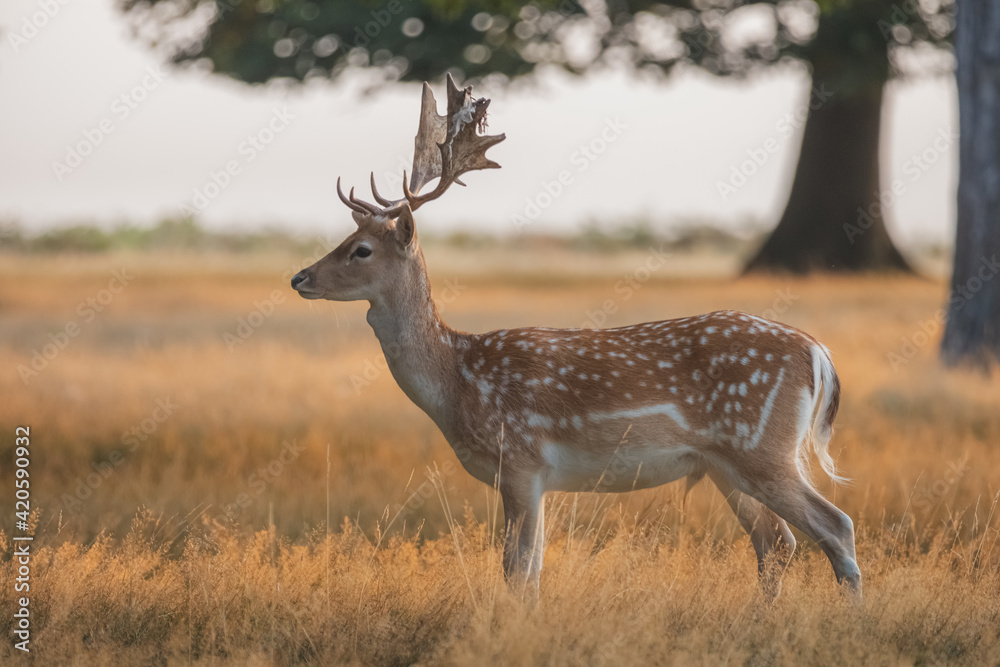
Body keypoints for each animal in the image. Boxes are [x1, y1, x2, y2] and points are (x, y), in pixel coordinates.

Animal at [291, 75, 861, 599]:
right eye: (346, 237)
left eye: (361, 249)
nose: (300, 278)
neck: (457, 379)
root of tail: (818, 353)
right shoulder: (535, 478)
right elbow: (532, 568)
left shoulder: (521, 460)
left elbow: (517, 570)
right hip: (726, 463)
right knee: (777, 542)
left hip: (760, 444)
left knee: (835, 526)